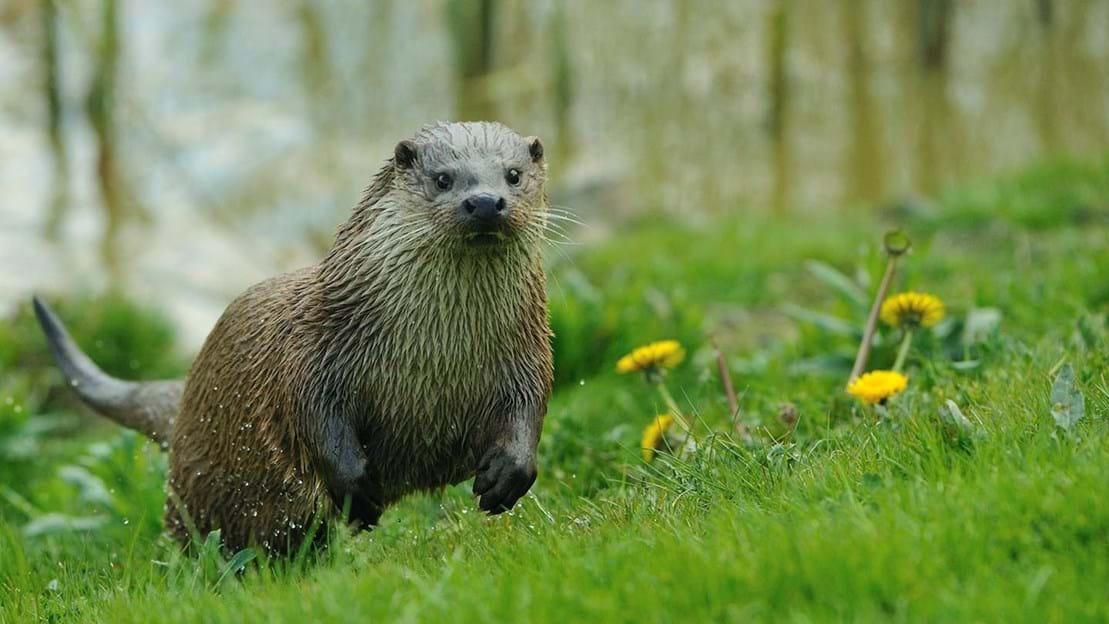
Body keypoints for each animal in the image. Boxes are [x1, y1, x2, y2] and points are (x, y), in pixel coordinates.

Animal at [34, 121, 554, 554]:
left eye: (513, 175)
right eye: (443, 179)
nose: (484, 201)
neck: (434, 356)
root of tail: (182, 408)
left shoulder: (527, 354)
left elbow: (529, 407)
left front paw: (508, 475)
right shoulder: (313, 356)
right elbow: (315, 421)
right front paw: (358, 496)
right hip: (196, 493)